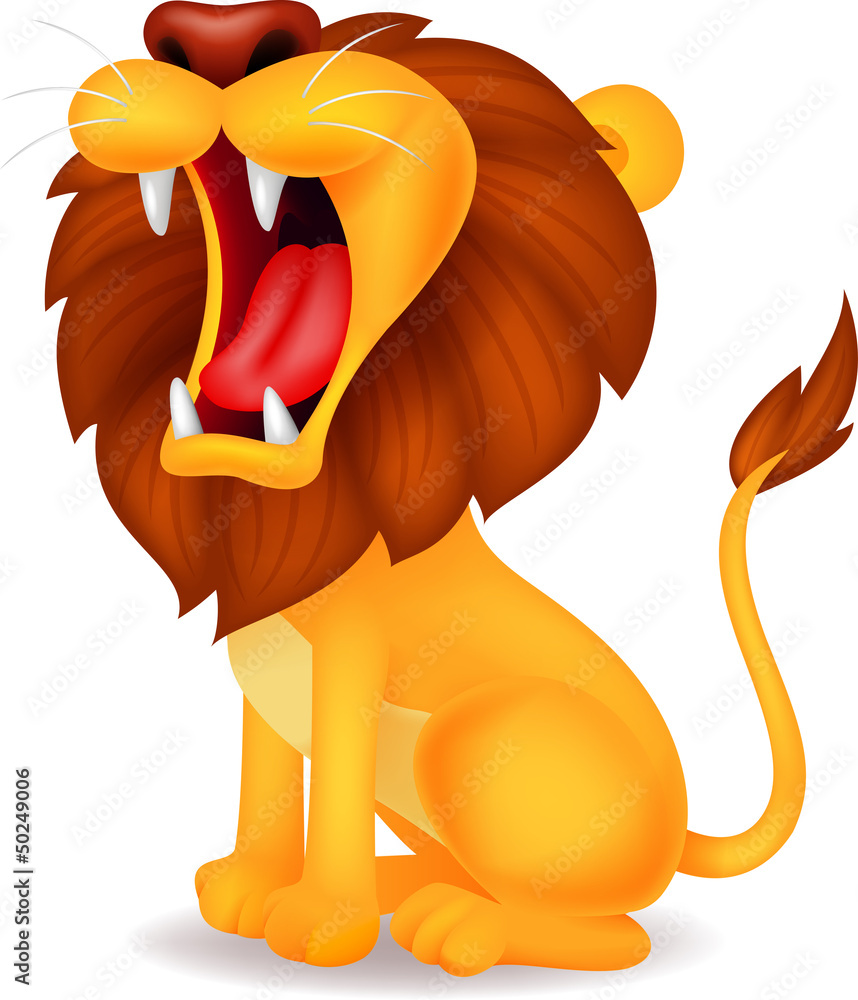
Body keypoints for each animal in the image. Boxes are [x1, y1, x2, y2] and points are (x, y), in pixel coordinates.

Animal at [43, 1, 856, 976]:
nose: (218, 33)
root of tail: (684, 830)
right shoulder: (259, 666)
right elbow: (267, 778)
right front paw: (247, 886)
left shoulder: (354, 664)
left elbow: (334, 790)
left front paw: (321, 921)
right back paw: (412, 887)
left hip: (469, 738)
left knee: (619, 935)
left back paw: (460, 925)